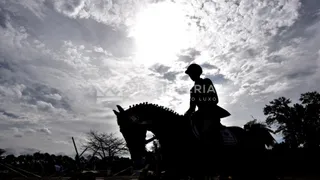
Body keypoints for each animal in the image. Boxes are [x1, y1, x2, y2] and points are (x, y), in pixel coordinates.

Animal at [113, 102, 276, 179]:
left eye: (131, 128)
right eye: (121, 131)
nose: (137, 159)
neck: (174, 131)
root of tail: (252, 133)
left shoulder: (191, 170)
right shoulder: (174, 170)